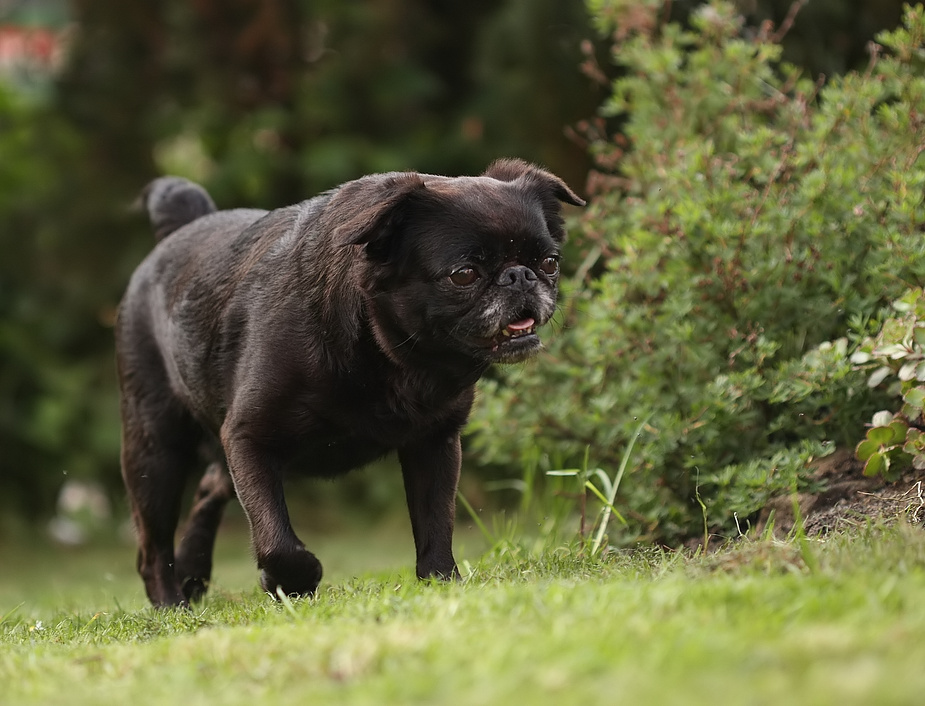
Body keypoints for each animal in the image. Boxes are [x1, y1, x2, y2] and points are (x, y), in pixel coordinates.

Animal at [113, 160, 576, 604]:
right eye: (464, 274)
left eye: (550, 263)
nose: (520, 275)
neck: (390, 356)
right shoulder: (248, 439)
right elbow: (278, 540)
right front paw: (292, 580)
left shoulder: (435, 443)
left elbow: (435, 523)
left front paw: (441, 582)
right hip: (156, 453)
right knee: (152, 548)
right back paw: (170, 602)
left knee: (210, 485)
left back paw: (192, 571)